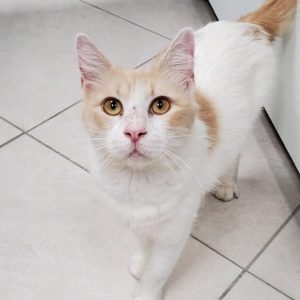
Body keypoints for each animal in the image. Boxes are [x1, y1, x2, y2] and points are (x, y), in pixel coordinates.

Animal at [74, 0, 296, 300]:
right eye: (112, 106)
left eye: (160, 105)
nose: (135, 132)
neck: (139, 182)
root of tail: (244, 25)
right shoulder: (134, 218)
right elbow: (143, 243)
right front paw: (141, 262)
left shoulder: (175, 230)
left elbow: (157, 270)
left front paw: (146, 291)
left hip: (248, 118)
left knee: (235, 151)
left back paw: (226, 183)